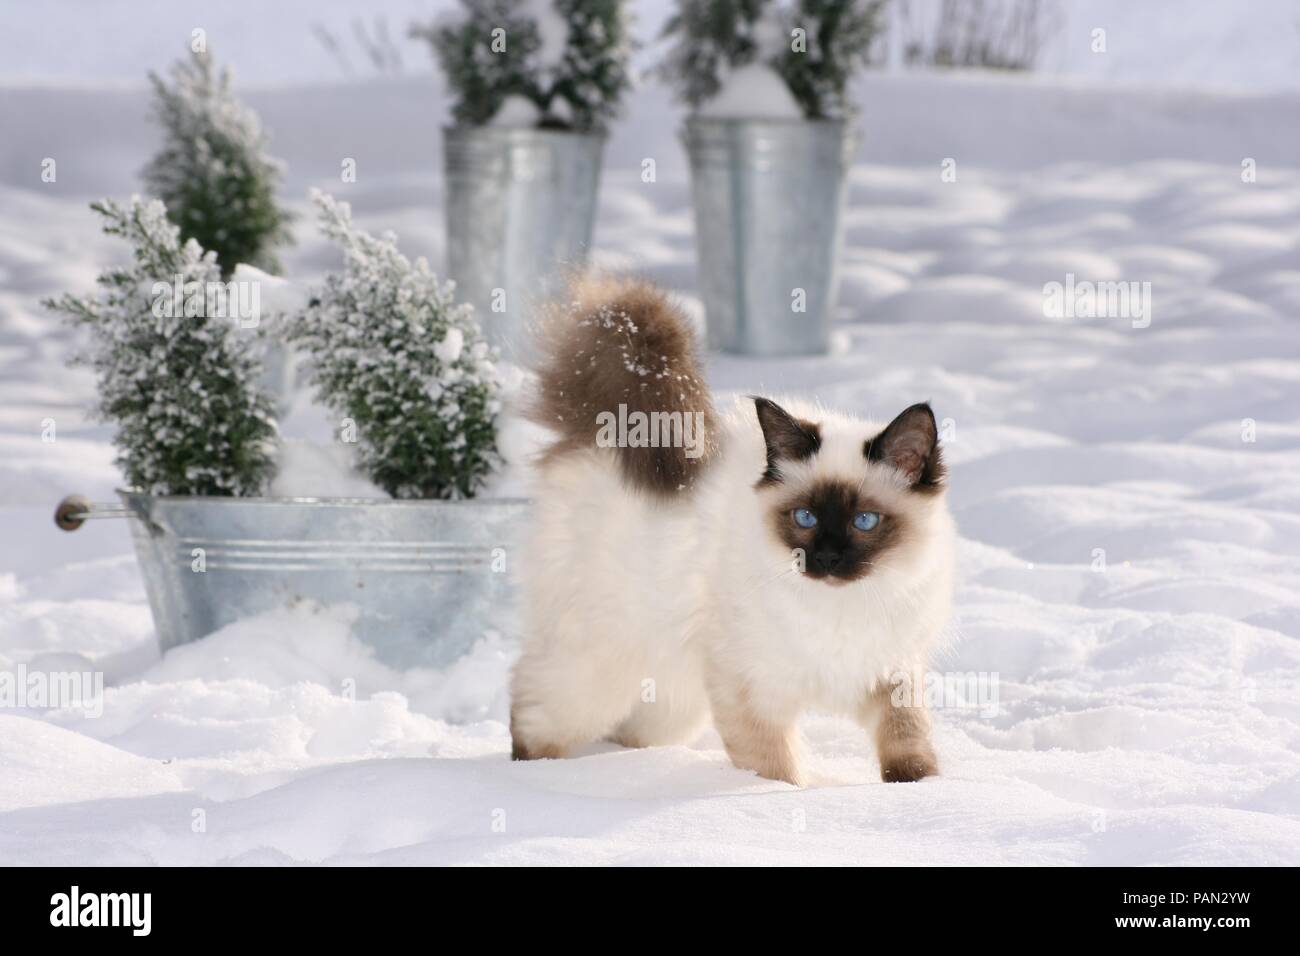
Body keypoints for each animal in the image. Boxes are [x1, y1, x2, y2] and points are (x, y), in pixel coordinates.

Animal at [506, 277, 956, 785]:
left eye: (865, 521)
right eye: (805, 518)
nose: (826, 559)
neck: (840, 606)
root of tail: (599, 439)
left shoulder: (891, 674)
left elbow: (909, 747)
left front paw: (919, 793)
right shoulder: (753, 689)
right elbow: (776, 770)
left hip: (672, 697)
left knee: (631, 730)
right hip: (595, 672)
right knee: (530, 706)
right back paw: (534, 777)